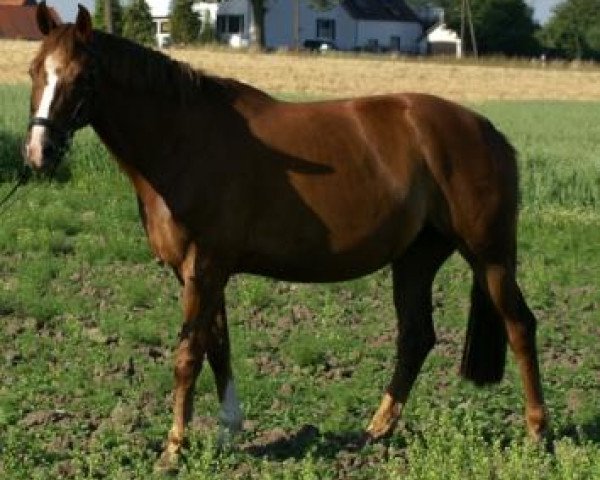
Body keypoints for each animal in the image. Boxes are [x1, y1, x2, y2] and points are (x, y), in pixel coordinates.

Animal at [24, 2, 548, 468]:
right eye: (34, 70)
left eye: (82, 77)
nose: (38, 152)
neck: (184, 140)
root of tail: (486, 131)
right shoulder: (202, 272)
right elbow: (218, 347)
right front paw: (228, 432)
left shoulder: (205, 266)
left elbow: (188, 354)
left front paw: (174, 449)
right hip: (416, 259)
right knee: (416, 337)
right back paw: (376, 431)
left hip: (490, 257)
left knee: (520, 327)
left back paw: (537, 433)